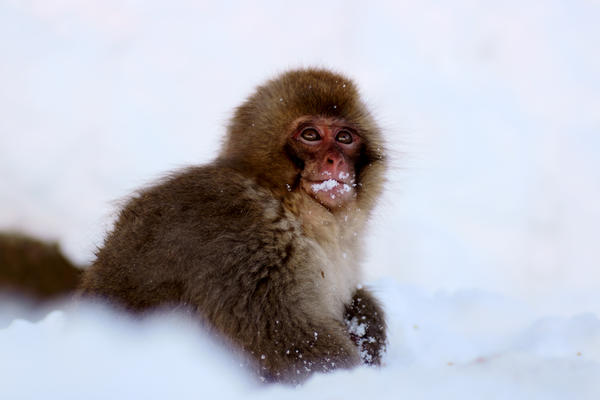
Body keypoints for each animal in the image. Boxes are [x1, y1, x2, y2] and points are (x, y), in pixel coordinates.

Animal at [79, 68, 386, 382]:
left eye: (344, 137)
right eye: (310, 135)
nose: (334, 160)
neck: (288, 205)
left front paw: (368, 323)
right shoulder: (251, 246)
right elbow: (287, 341)